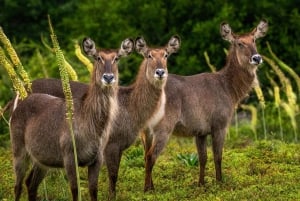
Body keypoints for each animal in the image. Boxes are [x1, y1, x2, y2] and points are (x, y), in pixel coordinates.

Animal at [9, 37, 134, 201]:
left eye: (116, 58)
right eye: (97, 57)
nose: (108, 77)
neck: (93, 127)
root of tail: (17, 106)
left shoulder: (97, 159)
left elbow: (93, 191)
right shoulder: (69, 156)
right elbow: (75, 191)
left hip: (42, 160)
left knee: (30, 184)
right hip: (19, 150)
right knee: (18, 186)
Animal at [141, 19, 270, 192]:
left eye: (254, 40)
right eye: (239, 43)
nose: (257, 58)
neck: (229, 89)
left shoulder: (200, 131)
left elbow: (202, 158)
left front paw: (201, 184)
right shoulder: (220, 124)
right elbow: (218, 156)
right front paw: (220, 182)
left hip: (145, 130)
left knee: (146, 155)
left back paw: (151, 186)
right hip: (163, 127)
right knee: (151, 156)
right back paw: (148, 189)